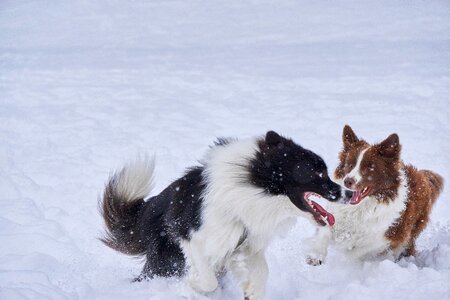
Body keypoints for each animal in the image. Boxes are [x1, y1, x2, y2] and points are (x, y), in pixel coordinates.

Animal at [101, 131, 348, 300]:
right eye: (318, 174)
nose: (348, 192)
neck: (252, 188)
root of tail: (150, 208)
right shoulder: (191, 237)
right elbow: (207, 279)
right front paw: (193, 284)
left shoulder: (248, 243)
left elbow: (262, 271)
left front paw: (252, 291)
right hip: (166, 260)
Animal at [306, 125, 442, 264]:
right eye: (350, 164)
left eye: (370, 167)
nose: (347, 181)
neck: (360, 207)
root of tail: (421, 175)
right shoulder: (335, 215)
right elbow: (325, 230)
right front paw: (316, 255)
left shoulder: (391, 236)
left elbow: (359, 250)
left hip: (414, 228)